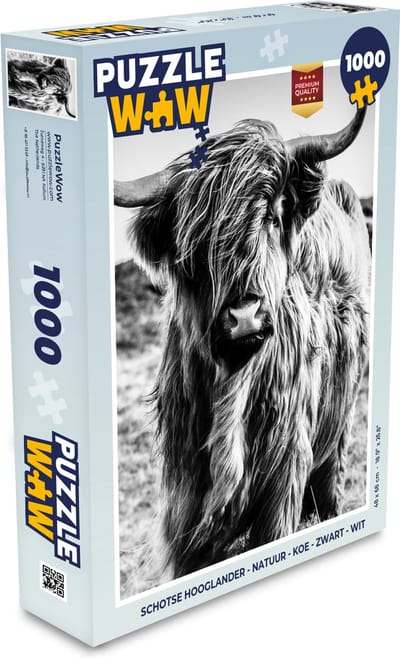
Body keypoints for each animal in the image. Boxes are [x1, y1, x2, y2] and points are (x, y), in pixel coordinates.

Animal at [115, 108, 370, 578]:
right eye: (196, 245)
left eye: (270, 217)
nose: (244, 316)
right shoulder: (184, 498)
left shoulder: (285, 477)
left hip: (338, 430)